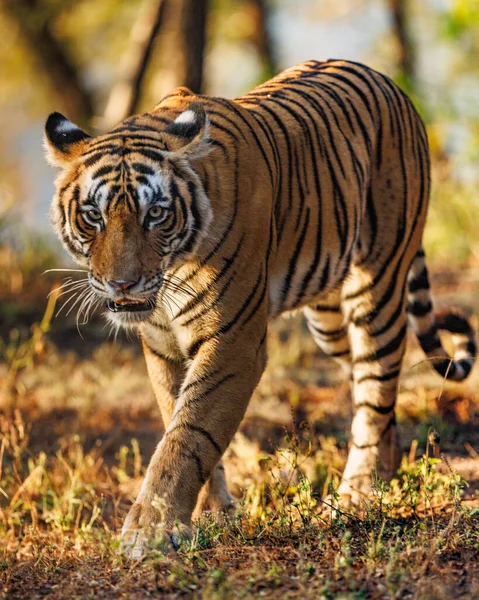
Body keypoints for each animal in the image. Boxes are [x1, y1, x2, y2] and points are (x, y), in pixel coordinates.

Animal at [44, 59, 476, 556]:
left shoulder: (233, 343)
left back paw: (358, 493)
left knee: (377, 386)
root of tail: (387, 81)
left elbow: (188, 435)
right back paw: (381, 478)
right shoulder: (162, 346)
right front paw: (211, 515)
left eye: (155, 214)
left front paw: (150, 531)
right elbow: (179, 421)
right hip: (328, 317)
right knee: (374, 391)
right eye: (93, 216)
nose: (122, 282)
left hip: (378, 285)